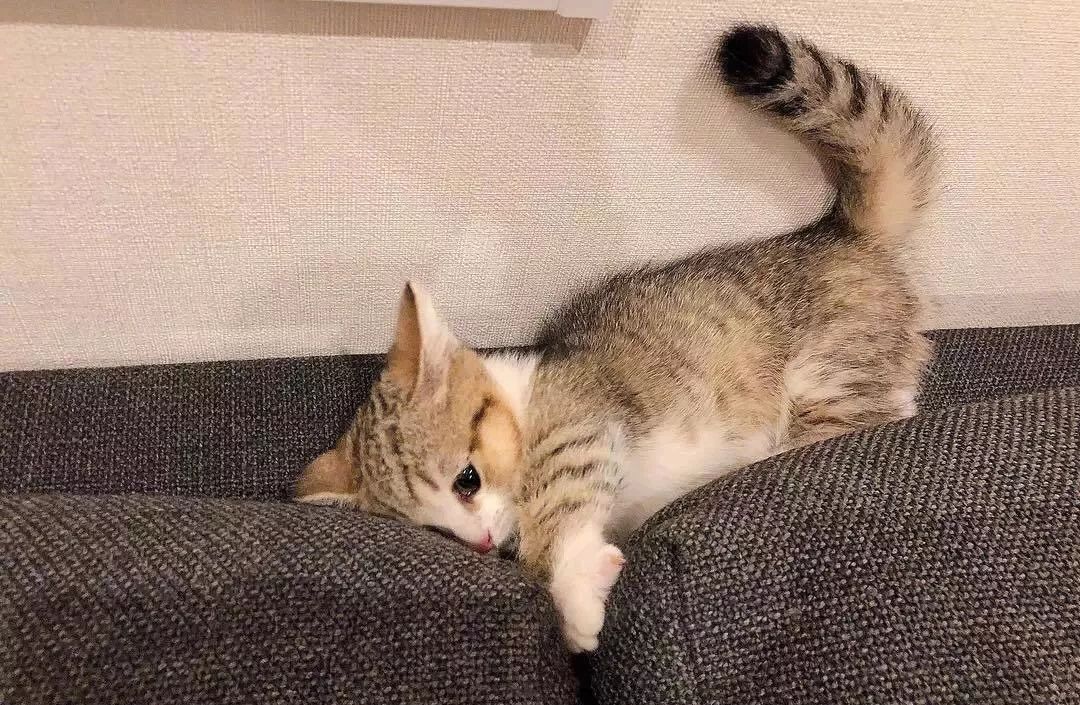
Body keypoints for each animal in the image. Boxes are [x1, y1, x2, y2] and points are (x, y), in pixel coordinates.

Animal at [294, 24, 937, 653]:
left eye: (466, 480)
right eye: (431, 529)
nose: (479, 543)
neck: (524, 391)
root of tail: (839, 231)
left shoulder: (577, 423)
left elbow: (558, 508)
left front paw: (575, 596)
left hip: (827, 375)